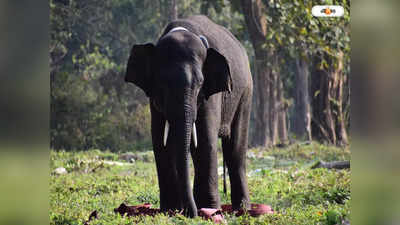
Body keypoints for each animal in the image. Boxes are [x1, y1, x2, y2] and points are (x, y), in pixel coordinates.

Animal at [125, 14, 252, 218]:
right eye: (162, 83)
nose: (188, 213)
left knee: (235, 149)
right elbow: (160, 142)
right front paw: (169, 211)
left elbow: (205, 140)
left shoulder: (211, 95)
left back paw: (242, 210)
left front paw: (209, 210)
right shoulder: (154, 99)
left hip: (245, 94)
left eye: (200, 83)